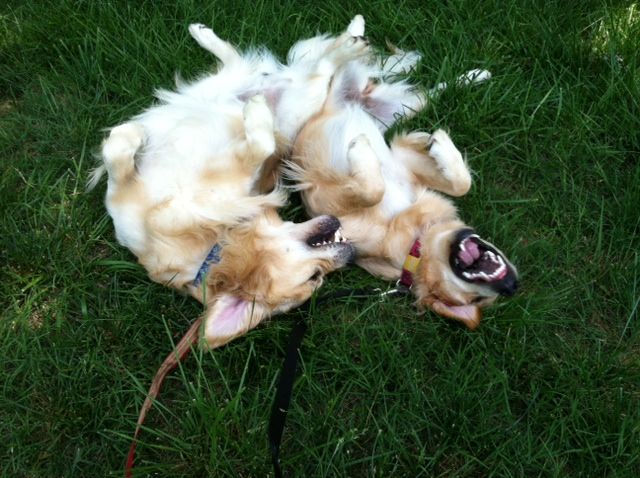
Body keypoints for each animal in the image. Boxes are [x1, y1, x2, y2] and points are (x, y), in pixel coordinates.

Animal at [90, 17, 370, 348]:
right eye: (315, 277)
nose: (349, 251)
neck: (213, 245)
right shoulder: (123, 203)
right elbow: (117, 158)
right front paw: (128, 136)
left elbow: (260, 145)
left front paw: (257, 117)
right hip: (241, 93)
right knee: (259, 64)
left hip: (297, 107)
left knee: (320, 70)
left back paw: (350, 42)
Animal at [290, 51, 520, 328]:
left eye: (477, 300)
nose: (512, 285)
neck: (418, 238)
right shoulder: (401, 165)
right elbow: (460, 185)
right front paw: (438, 143)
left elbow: (373, 190)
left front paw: (362, 148)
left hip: (404, 106)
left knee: (429, 91)